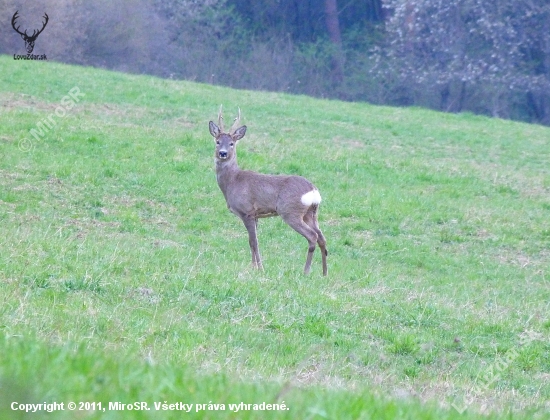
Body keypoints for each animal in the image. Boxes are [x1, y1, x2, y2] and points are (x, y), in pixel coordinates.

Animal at [208, 106, 328, 276]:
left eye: (231, 143)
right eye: (217, 141)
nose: (222, 153)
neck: (233, 181)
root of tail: (313, 191)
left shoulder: (247, 211)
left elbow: (254, 241)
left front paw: (259, 268)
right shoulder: (256, 215)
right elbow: (250, 241)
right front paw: (253, 266)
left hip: (290, 212)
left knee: (312, 236)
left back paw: (305, 271)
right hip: (311, 213)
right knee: (321, 237)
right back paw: (324, 273)